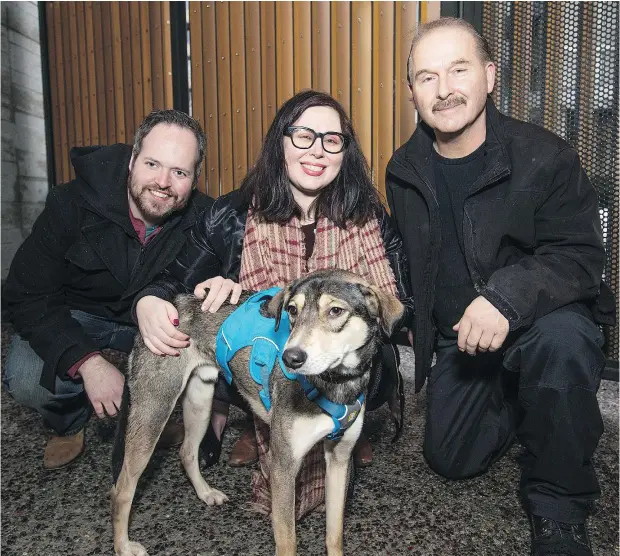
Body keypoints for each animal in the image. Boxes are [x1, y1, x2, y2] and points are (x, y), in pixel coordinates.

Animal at [110, 268, 402, 552]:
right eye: (292, 310)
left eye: (336, 311)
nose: (290, 358)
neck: (335, 384)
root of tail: (169, 304)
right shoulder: (283, 466)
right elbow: (287, 541)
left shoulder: (339, 458)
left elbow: (334, 535)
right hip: (153, 411)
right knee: (122, 488)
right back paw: (123, 546)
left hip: (200, 401)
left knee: (187, 452)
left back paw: (205, 493)